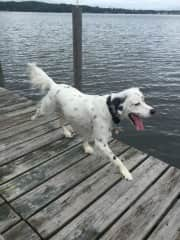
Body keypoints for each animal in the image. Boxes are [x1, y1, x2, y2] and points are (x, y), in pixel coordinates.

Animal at [27, 63, 155, 180]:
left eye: (144, 100)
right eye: (136, 103)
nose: (153, 111)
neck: (108, 109)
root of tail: (55, 85)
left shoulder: (87, 128)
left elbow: (85, 138)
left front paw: (86, 148)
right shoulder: (101, 142)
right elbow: (116, 158)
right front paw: (126, 172)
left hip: (64, 112)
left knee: (61, 122)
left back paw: (67, 132)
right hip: (46, 109)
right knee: (39, 111)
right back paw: (33, 118)